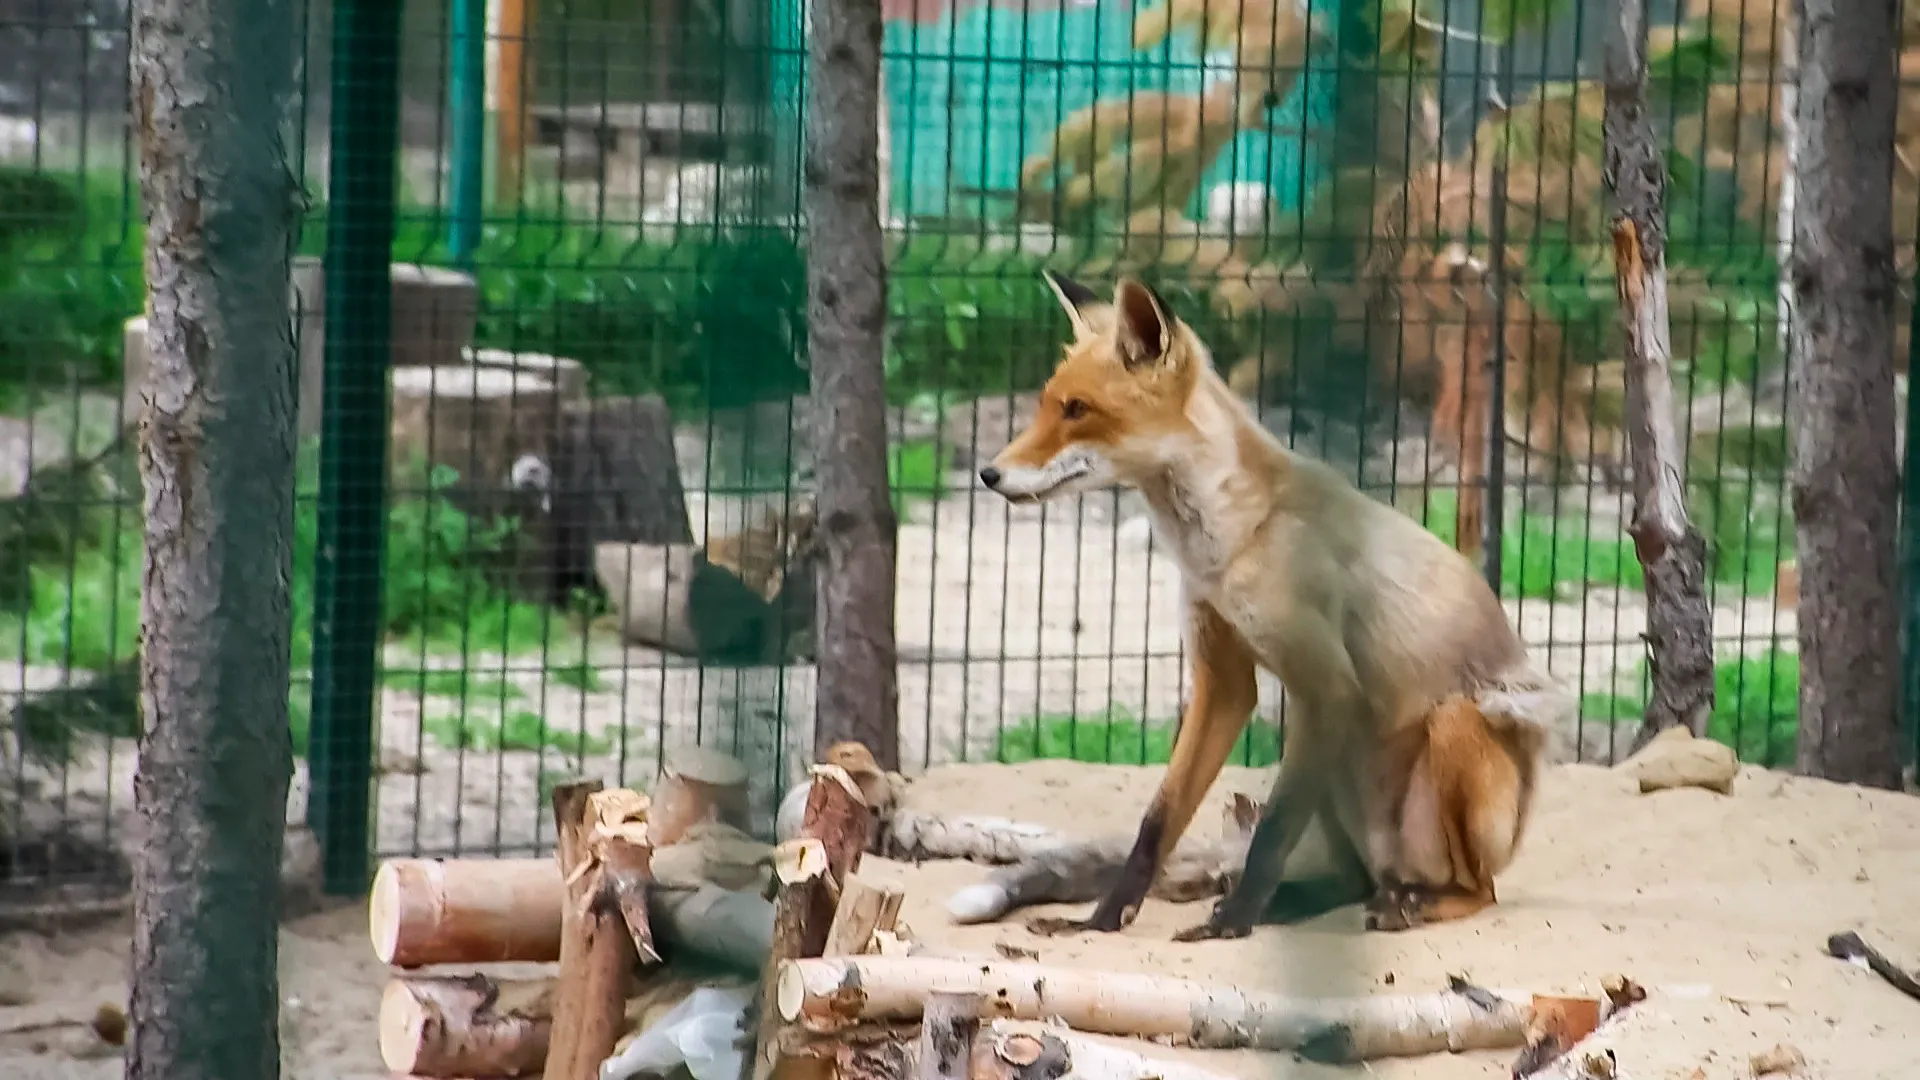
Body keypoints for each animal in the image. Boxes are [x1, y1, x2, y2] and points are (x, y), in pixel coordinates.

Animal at [983, 269, 1566, 933]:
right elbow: (1157, 824)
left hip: (1450, 729)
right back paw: (1312, 903)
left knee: (1479, 888)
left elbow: (1272, 833)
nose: (987, 475)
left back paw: (1416, 906)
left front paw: (1232, 922)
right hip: (1329, 766)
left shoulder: (1329, 686)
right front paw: (1103, 918)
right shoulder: (1224, 681)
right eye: (1045, 404)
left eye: (1077, 410)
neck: (1229, 541)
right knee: (1354, 880)